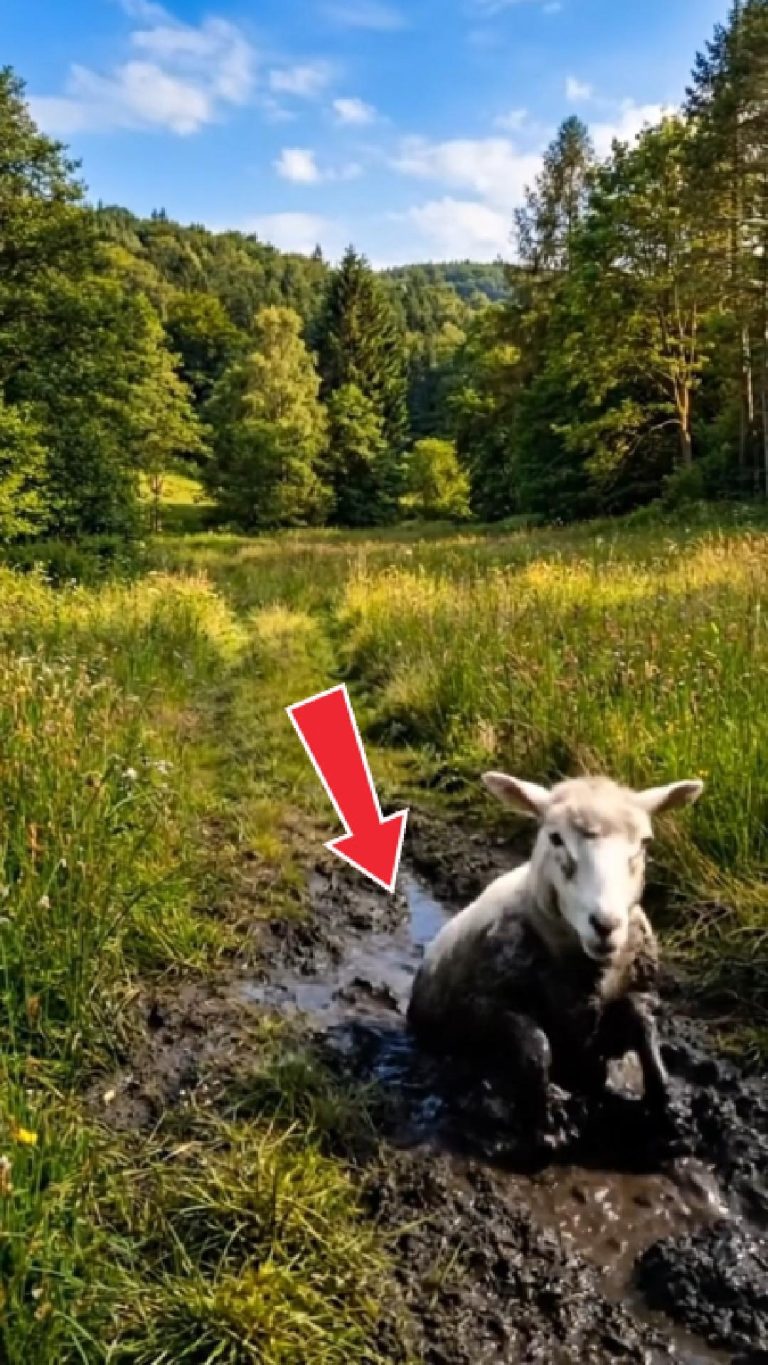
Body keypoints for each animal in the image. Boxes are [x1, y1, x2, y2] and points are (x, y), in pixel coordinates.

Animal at [407, 773, 704, 1127]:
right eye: (555, 838)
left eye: (644, 843)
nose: (606, 925)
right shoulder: (483, 1007)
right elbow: (537, 1046)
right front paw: (544, 1113)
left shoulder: (637, 996)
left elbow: (644, 1030)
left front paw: (664, 1101)